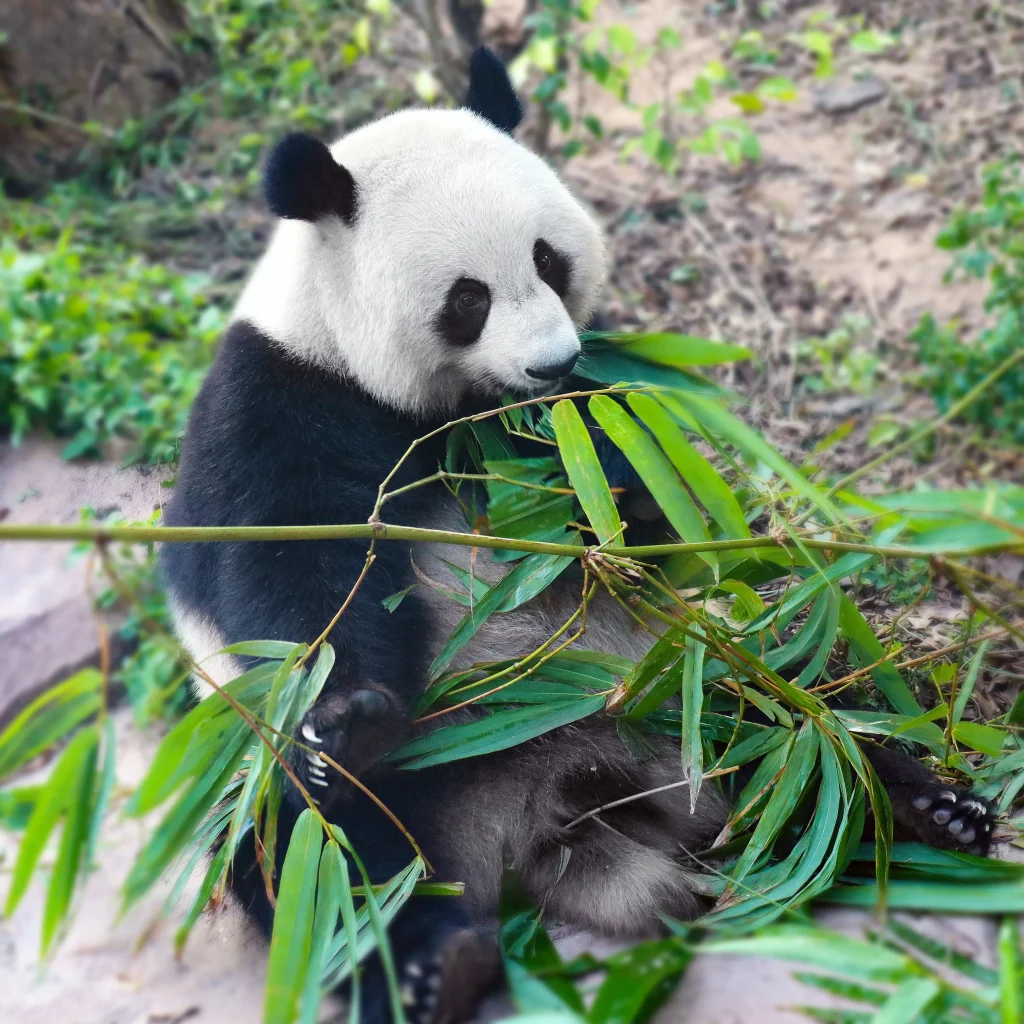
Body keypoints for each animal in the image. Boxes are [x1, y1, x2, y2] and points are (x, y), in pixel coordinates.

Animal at [161, 47, 996, 1024]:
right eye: (467, 299)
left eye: (549, 259)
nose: (551, 360)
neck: (444, 409)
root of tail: (544, 823)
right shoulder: (276, 404)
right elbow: (295, 577)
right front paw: (348, 715)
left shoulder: (579, 412)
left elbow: (648, 500)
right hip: (307, 792)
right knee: (313, 855)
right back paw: (432, 966)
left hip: (685, 680)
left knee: (796, 714)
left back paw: (921, 809)